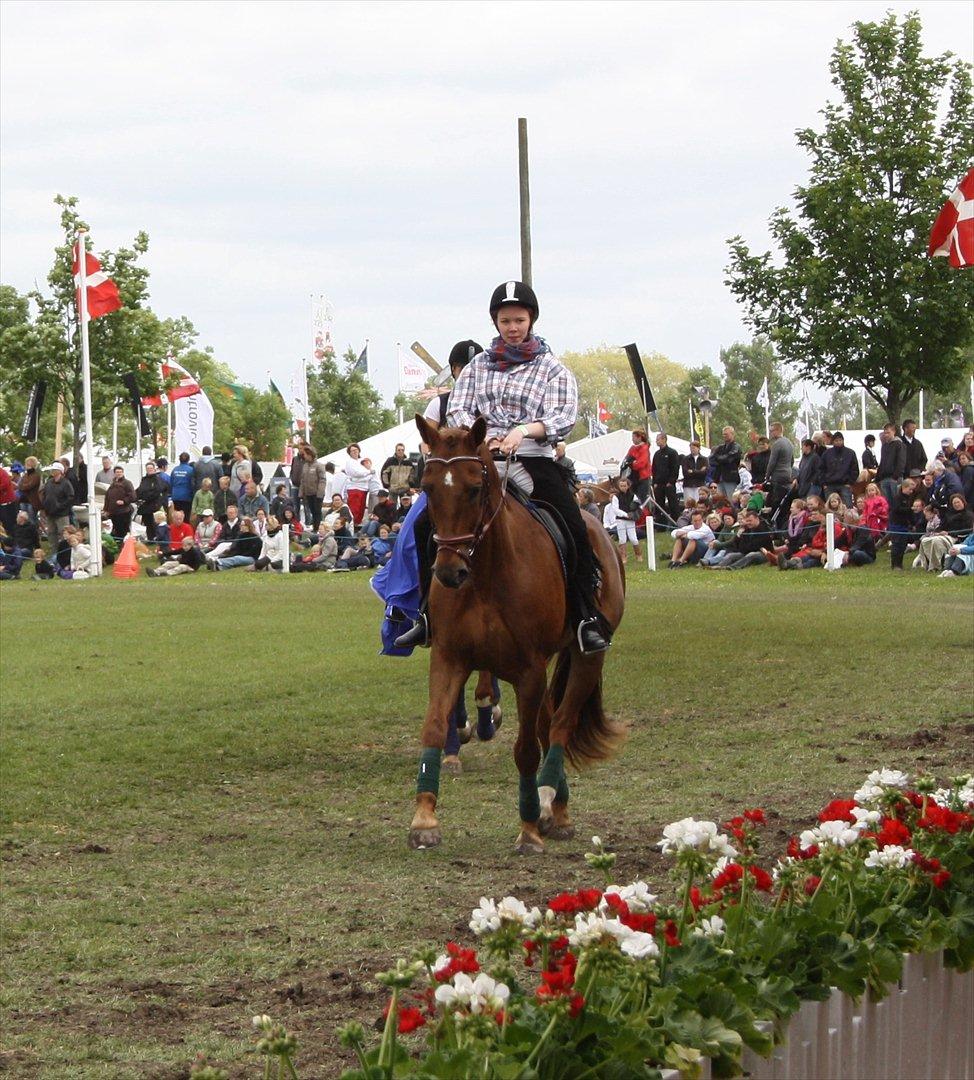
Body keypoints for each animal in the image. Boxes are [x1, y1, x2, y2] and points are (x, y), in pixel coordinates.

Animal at [408, 416, 630, 855]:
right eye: (427, 487)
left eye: (474, 488)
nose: (448, 573)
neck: (485, 574)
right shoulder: (449, 658)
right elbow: (435, 727)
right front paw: (424, 819)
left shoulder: (529, 670)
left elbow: (526, 750)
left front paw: (527, 828)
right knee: (547, 723)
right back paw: (556, 806)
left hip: (585, 658)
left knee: (559, 725)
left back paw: (548, 805)